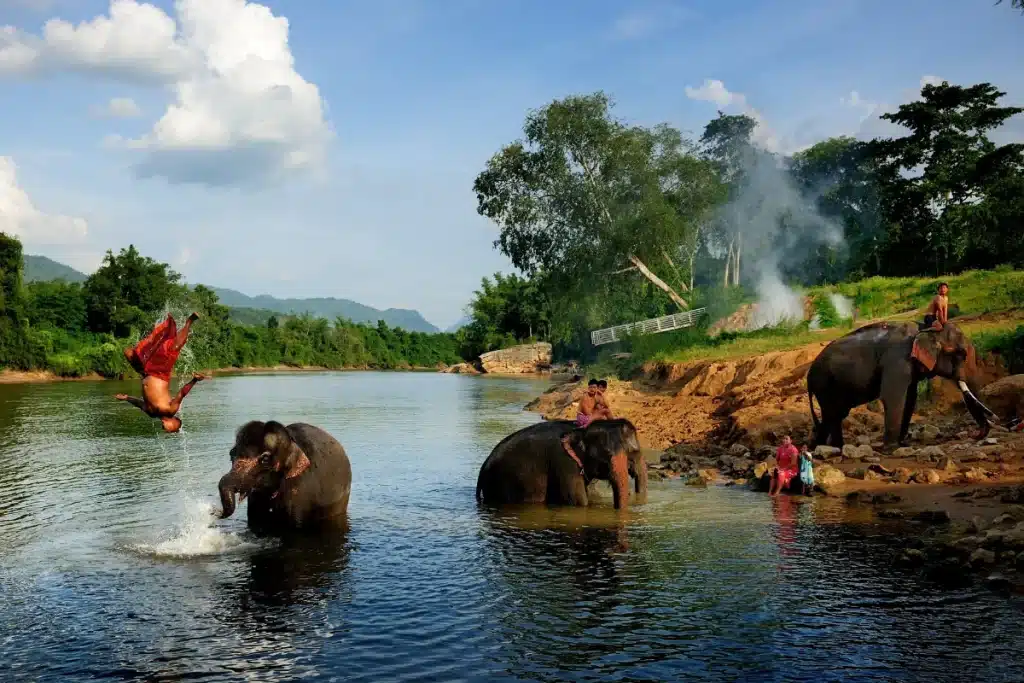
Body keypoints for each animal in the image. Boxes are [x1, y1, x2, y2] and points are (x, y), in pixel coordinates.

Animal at [475, 418, 645, 509]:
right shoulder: (565, 464)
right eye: (608, 456)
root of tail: (483, 466)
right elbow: (579, 502)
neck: (580, 431)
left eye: (634, 452)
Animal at [806, 321, 997, 448]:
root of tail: (808, 374)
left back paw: (827, 447)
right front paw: (891, 448)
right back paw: (828, 447)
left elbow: (910, 400)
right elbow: (893, 397)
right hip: (823, 384)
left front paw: (902, 443)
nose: (976, 435)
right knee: (832, 413)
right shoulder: (897, 360)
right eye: (960, 354)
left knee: (835, 414)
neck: (924, 329)